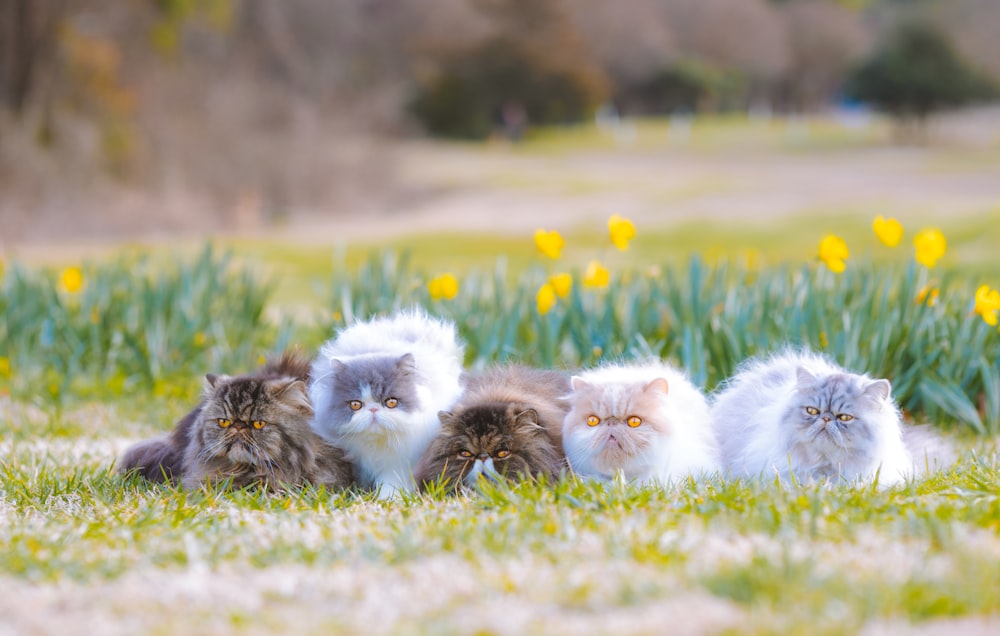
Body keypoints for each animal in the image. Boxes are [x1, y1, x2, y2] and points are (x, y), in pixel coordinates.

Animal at [308, 310, 464, 500]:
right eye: (355, 404)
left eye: (391, 402)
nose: (374, 409)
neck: (378, 444)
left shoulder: (400, 461)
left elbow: (392, 481)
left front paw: (388, 498)